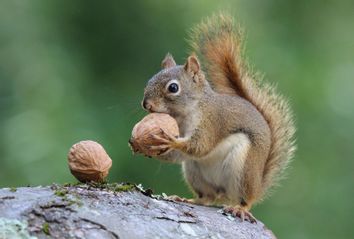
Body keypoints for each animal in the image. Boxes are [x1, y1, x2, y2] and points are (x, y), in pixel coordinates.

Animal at [140, 14, 294, 223]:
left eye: (173, 88)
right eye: (149, 81)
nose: (146, 104)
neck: (186, 113)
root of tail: (258, 185)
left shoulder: (212, 122)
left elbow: (200, 146)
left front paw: (172, 141)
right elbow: (178, 155)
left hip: (243, 169)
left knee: (245, 199)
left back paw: (240, 208)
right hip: (194, 171)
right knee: (208, 197)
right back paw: (187, 199)